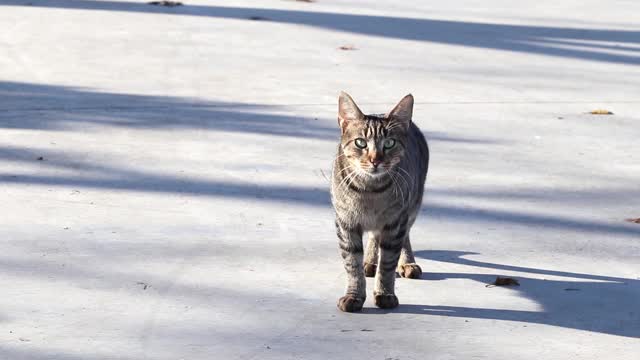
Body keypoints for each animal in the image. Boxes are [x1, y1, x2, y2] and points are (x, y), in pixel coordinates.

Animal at [330, 92, 430, 312]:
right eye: (360, 143)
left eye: (390, 143)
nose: (375, 160)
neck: (370, 192)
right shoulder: (345, 221)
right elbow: (352, 263)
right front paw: (354, 295)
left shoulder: (395, 221)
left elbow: (388, 262)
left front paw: (384, 293)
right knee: (374, 237)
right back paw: (369, 261)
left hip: (413, 205)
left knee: (403, 236)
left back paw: (407, 263)